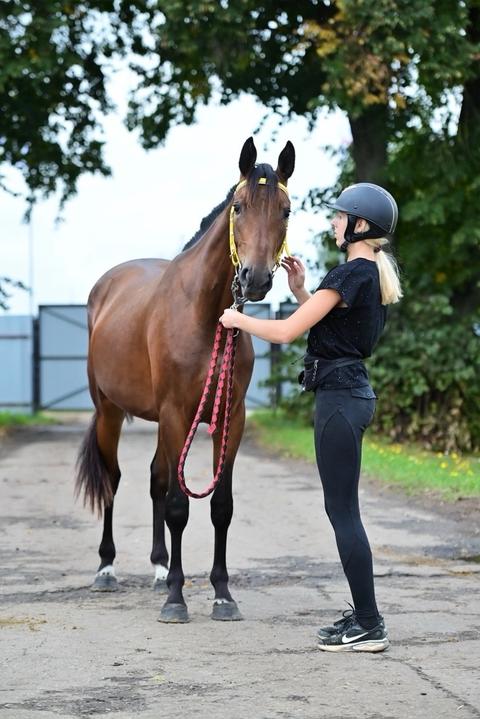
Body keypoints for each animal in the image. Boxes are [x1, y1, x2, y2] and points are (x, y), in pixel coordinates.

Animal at [75, 136, 295, 623]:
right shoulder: (177, 412)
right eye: (238, 206)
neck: (205, 313)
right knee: (114, 479)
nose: (255, 278)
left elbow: (220, 506)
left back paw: (159, 569)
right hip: (111, 411)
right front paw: (177, 599)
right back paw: (106, 569)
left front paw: (222, 595)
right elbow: (179, 506)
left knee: (156, 477)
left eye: (286, 210)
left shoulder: (230, 418)